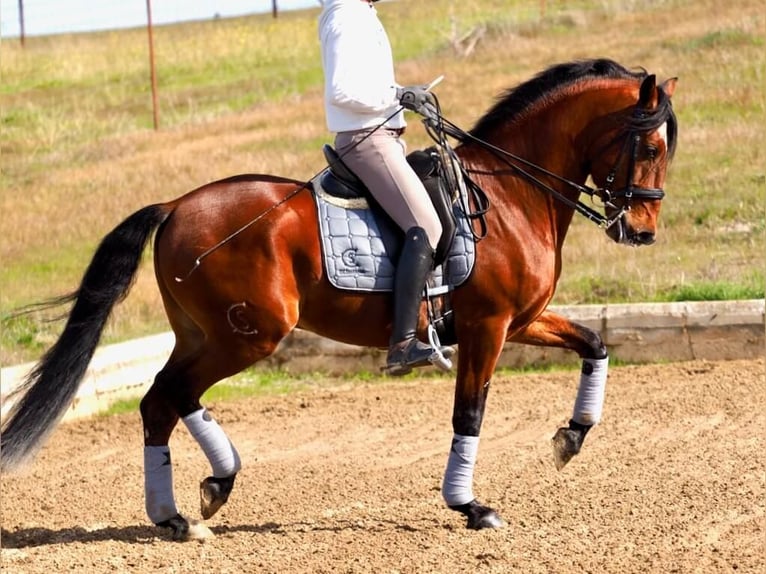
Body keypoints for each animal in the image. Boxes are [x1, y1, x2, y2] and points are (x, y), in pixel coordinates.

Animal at [3, 58, 680, 540]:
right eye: (650, 148)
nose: (642, 232)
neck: (512, 194)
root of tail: (174, 206)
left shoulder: (520, 320)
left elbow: (594, 344)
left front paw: (572, 437)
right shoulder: (487, 327)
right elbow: (470, 414)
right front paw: (470, 506)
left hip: (205, 334)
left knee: (164, 400)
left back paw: (183, 510)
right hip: (250, 334)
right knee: (171, 394)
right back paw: (202, 497)